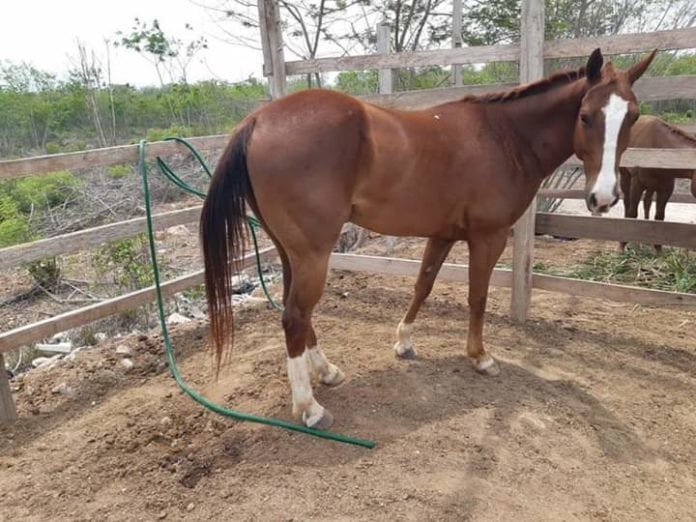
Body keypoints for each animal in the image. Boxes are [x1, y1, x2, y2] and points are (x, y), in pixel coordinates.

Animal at [200, 48, 655, 429]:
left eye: (632, 117)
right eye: (586, 116)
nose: (603, 198)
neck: (505, 137)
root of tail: (258, 120)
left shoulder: (443, 234)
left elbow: (423, 285)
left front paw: (404, 342)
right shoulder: (488, 237)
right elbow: (477, 296)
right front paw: (480, 357)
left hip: (290, 251)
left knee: (296, 309)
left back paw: (326, 372)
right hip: (313, 252)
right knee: (295, 316)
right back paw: (309, 407)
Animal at [619, 115, 696, 253]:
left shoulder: (666, 189)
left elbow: (659, 217)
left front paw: (658, 249)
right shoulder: (637, 184)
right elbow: (632, 213)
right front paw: (623, 244)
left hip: (651, 186)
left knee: (647, 203)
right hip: (626, 177)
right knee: (627, 203)